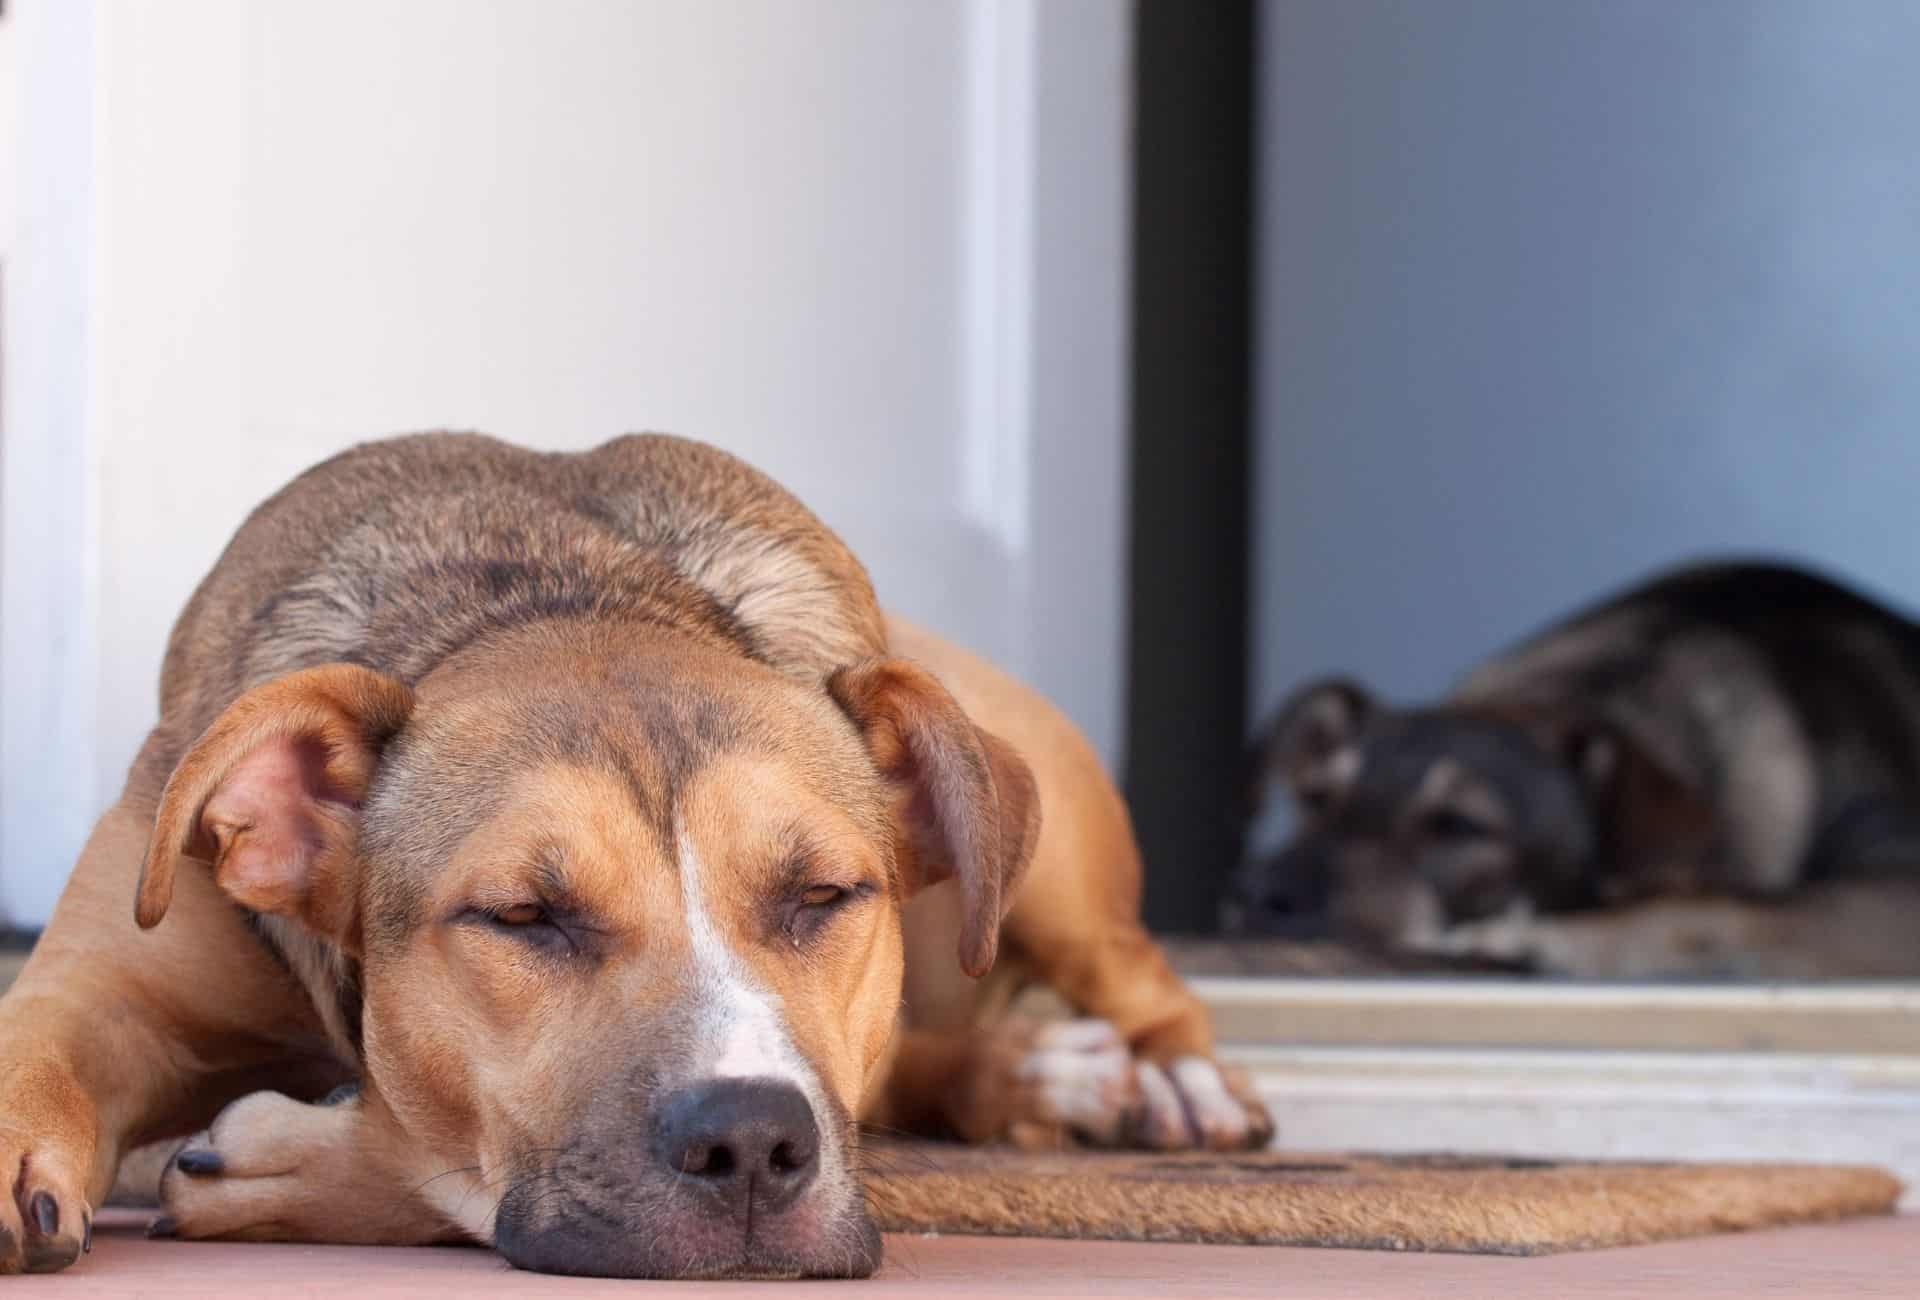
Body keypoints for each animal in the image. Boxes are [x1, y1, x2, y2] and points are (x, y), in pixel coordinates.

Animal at [0, 433, 1274, 1275]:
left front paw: (286, 1157)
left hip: (1046, 849)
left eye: (825, 892)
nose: (753, 1140)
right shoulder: (103, 990)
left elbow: (428, 1155)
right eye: (522, 915)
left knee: (1128, 973)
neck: (549, 590)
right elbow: (38, 1049)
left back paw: (1171, 1080)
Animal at [1236, 556, 1920, 975]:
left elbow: (1729, 909)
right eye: (1317, 798)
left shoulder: (1891, 886)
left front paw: (1537, 937)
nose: (1259, 893)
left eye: (1458, 825)